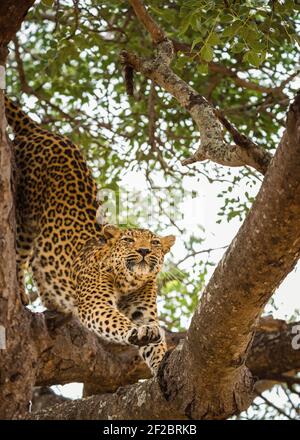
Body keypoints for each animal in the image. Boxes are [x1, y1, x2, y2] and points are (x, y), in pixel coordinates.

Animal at [4, 96, 175, 374]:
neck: (128, 282)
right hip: (24, 215)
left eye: (155, 243)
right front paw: (134, 332)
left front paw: (161, 365)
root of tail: (41, 131)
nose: (143, 251)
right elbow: (115, 320)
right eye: (128, 240)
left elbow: (156, 346)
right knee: (19, 256)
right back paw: (20, 293)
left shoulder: (144, 311)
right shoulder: (95, 304)